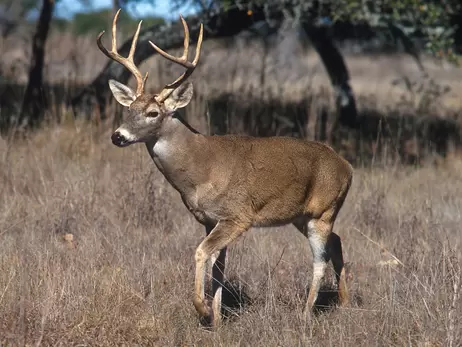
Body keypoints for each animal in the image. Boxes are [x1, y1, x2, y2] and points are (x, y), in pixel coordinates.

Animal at [98, 8, 354, 328]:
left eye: (153, 112)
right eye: (129, 109)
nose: (117, 136)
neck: (200, 170)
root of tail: (347, 166)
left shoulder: (237, 216)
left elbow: (201, 253)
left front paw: (203, 310)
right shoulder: (210, 219)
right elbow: (219, 266)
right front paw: (218, 319)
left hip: (323, 210)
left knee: (320, 259)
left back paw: (306, 314)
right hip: (303, 215)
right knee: (338, 242)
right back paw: (343, 303)